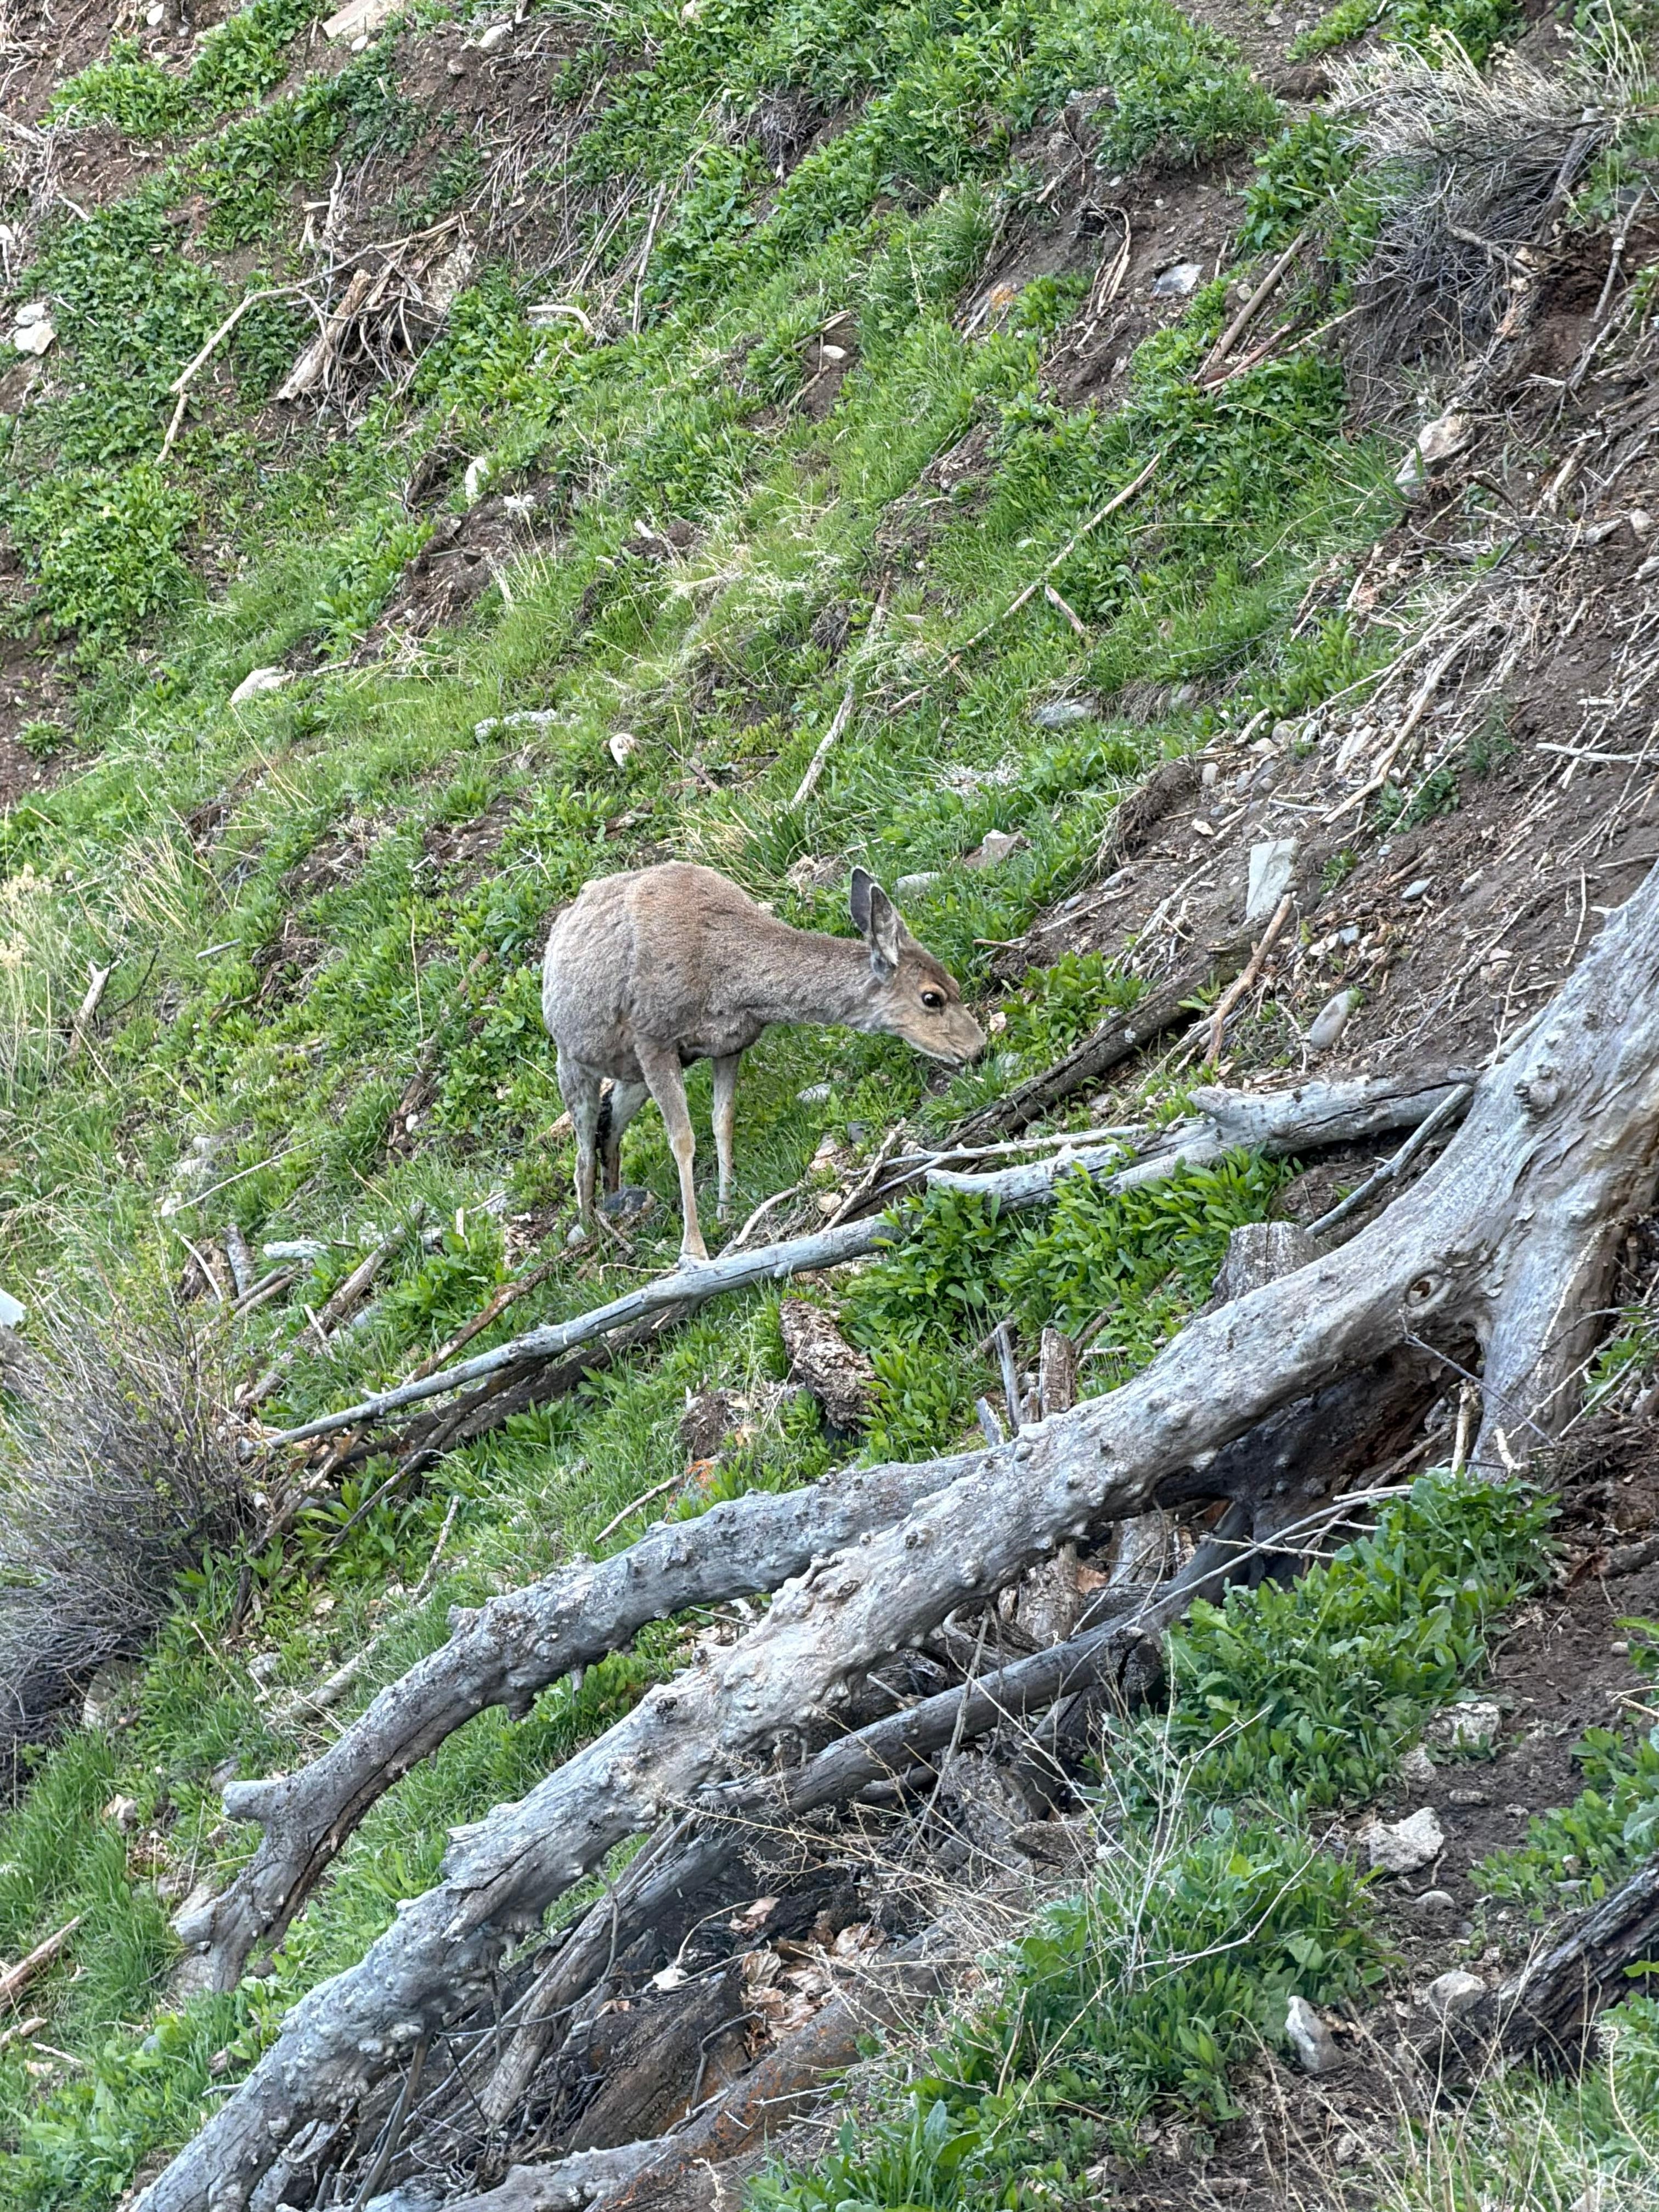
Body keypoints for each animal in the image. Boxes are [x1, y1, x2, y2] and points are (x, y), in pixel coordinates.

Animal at [541, 860, 985, 1264]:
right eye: (931, 997)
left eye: (955, 984)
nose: (979, 1048)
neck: (729, 980)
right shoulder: (653, 1038)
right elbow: (682, 1140)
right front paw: (694, 1250)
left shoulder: (729, 1045)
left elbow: (723, 1122)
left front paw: (726, 1211)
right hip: (573, 1061)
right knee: (582, 1151)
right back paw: (591, 1233)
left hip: (630, 1076)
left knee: (609, 1129)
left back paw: (614, 1203)